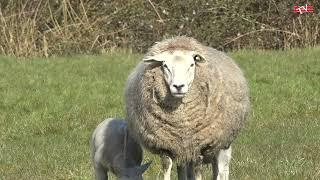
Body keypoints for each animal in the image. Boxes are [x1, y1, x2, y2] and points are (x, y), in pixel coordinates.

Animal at [124, 35, 250, 179]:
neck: (181, 121)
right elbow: (167, 167)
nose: (178, 86)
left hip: (223, 143)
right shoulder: (167, 146)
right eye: (165, 65)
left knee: (222, 170)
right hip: (186, 150)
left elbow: (198, 172)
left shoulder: (200, 145)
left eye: (191, 64)